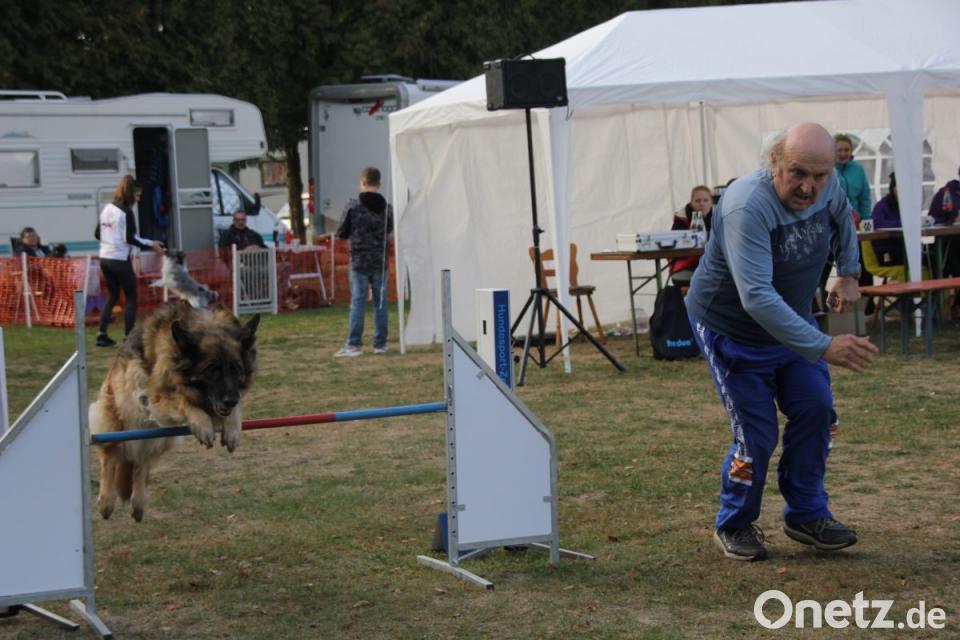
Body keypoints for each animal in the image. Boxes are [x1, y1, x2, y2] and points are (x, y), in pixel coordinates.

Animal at [89, 302, 260, 521]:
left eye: (235, 369)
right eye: (211, 369)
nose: (230, 401)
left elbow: (233, 410)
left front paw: (232, 430)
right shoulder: (155, 399)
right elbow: (182, 400)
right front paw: (203, 424)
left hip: (159, 438)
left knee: (141, 464)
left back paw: (138, 503)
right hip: (116, 424)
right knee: (109, 458)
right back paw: (106, 501)